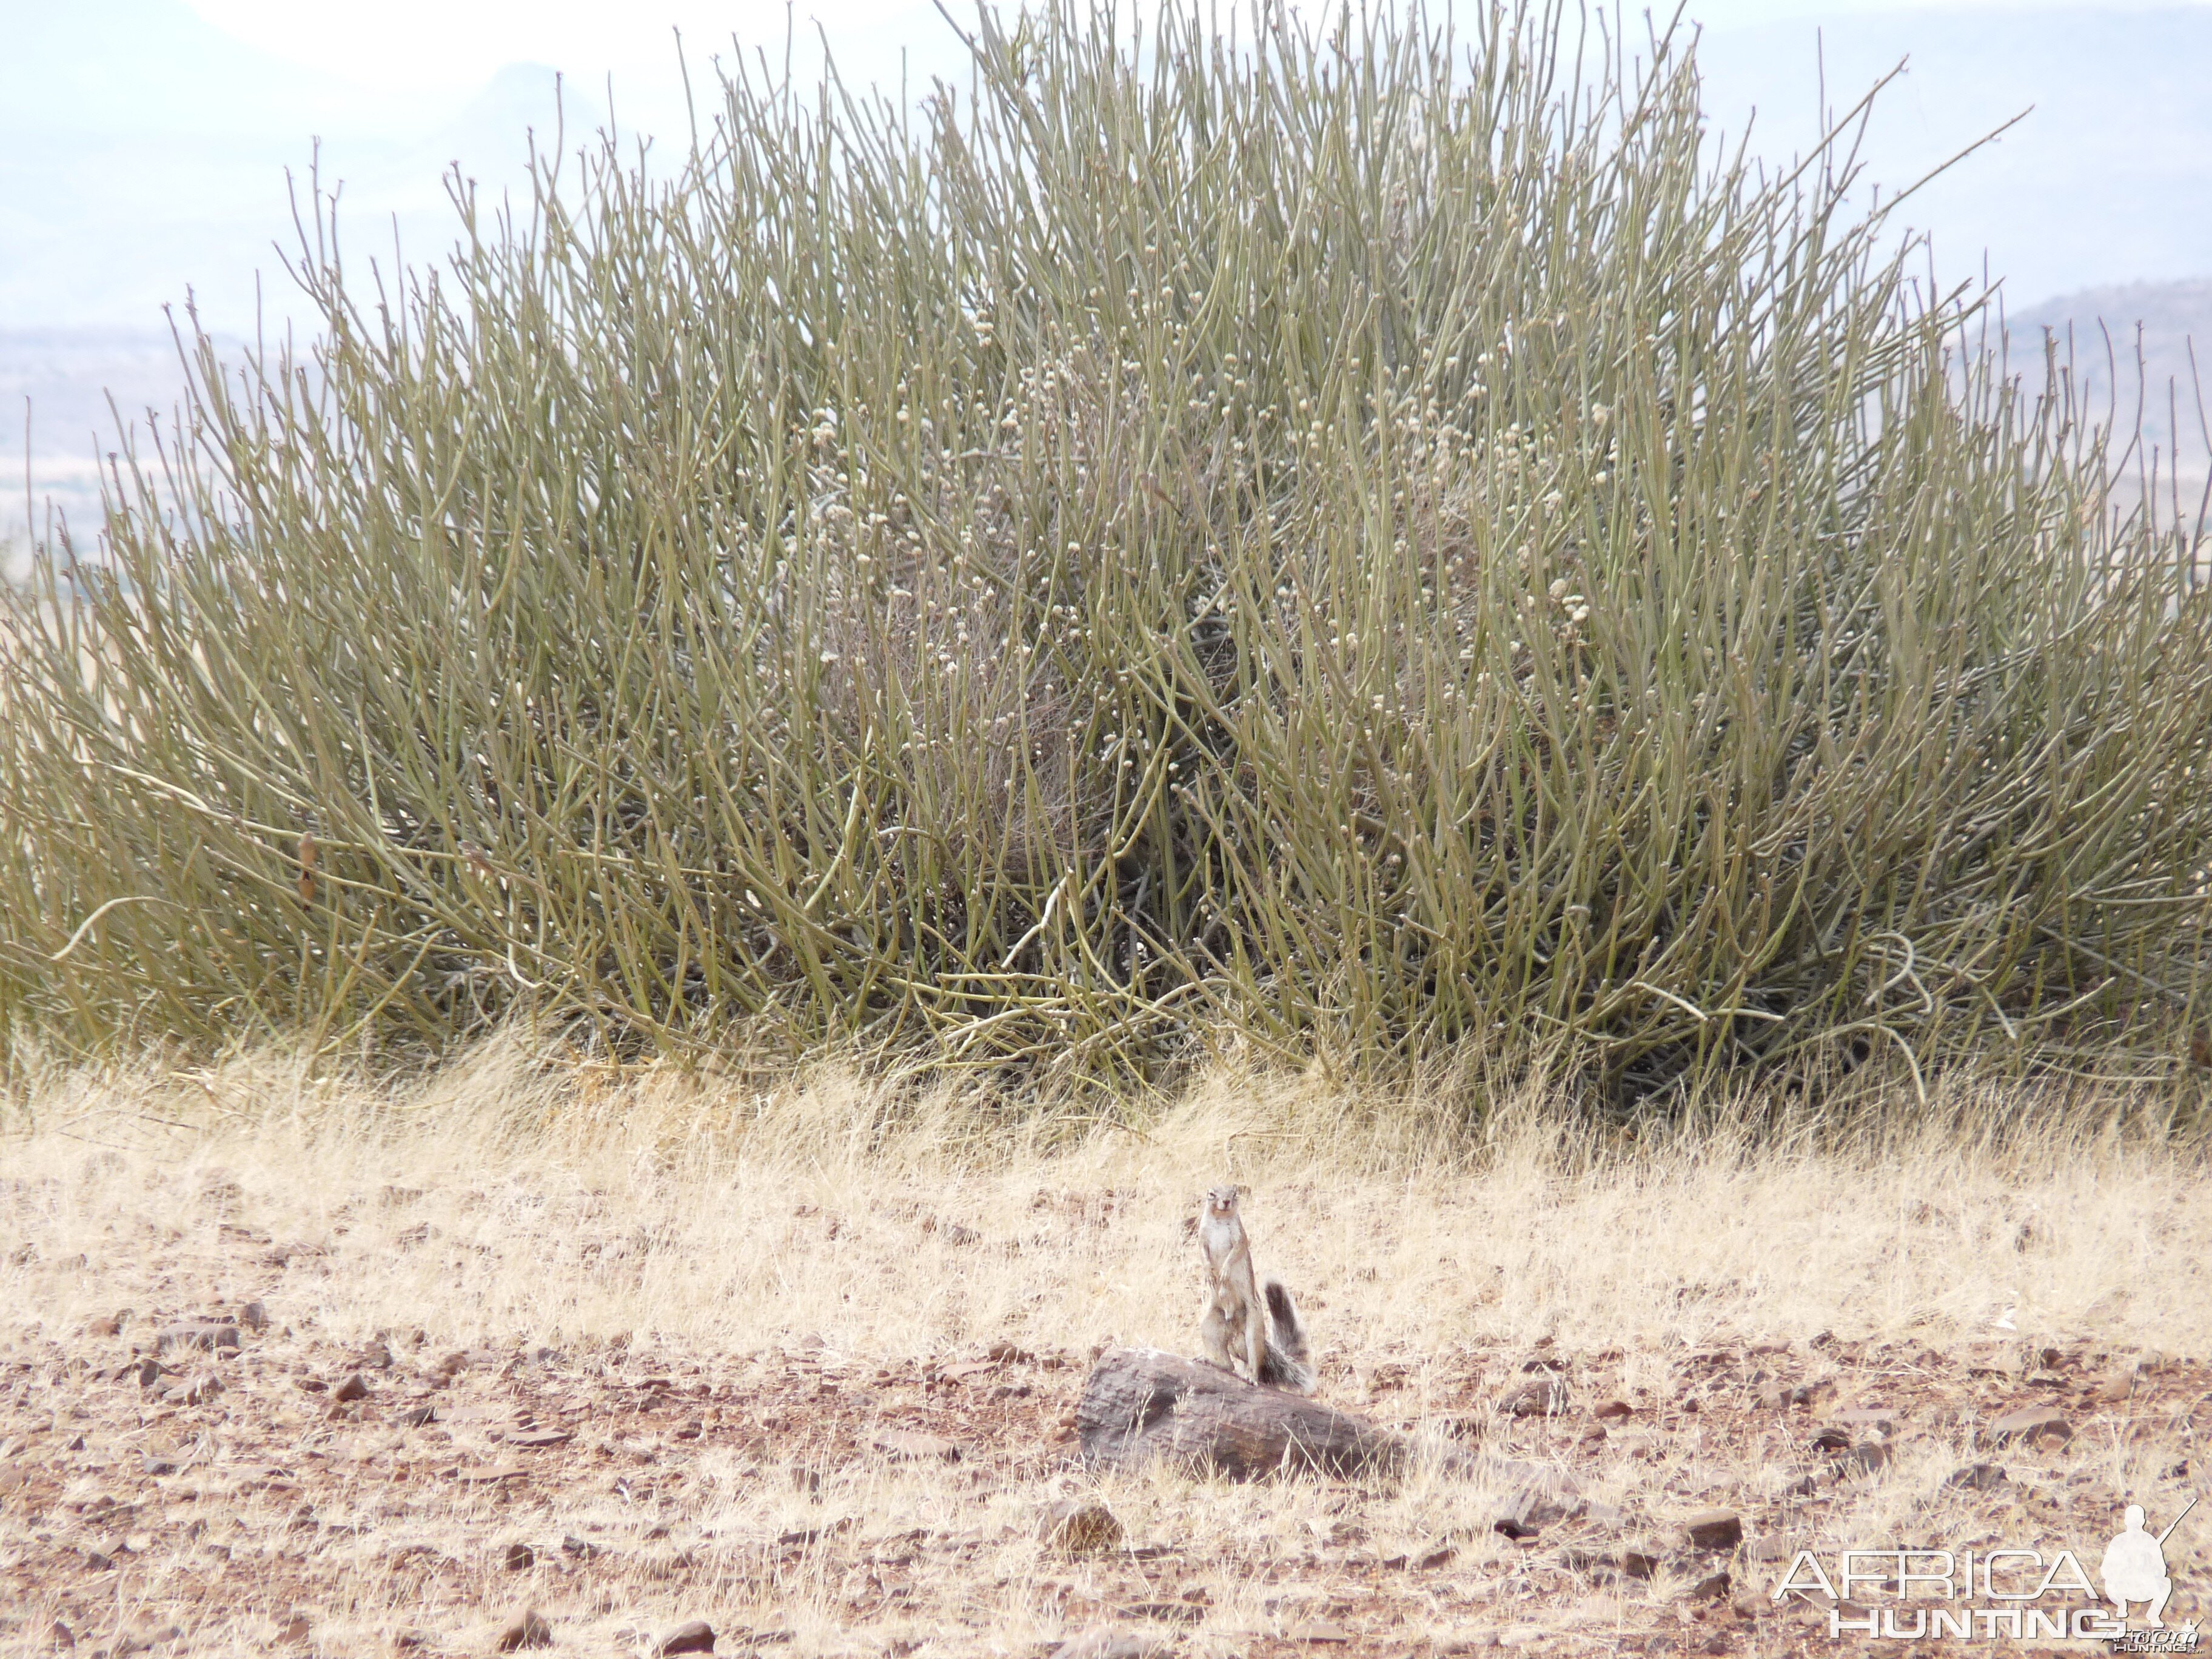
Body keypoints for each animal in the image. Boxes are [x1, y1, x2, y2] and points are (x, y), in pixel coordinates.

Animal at [1194, 1185, 1309, 1398]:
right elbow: (1203, 1254)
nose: (1226, 1202)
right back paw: (1211, 1360)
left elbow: (1236, 1252)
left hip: (1253, 1328)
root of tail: (1233, 1329)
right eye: (1211, 1193)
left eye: (1235, 1193)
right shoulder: (1202, 1237)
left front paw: (1225, 1271)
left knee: (1253, 1361)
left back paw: (1251, 1377)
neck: (1220, 1220)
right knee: (1228, 1364)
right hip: (1210, 1325)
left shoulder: (1240, 1237)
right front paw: (1209, 1273)